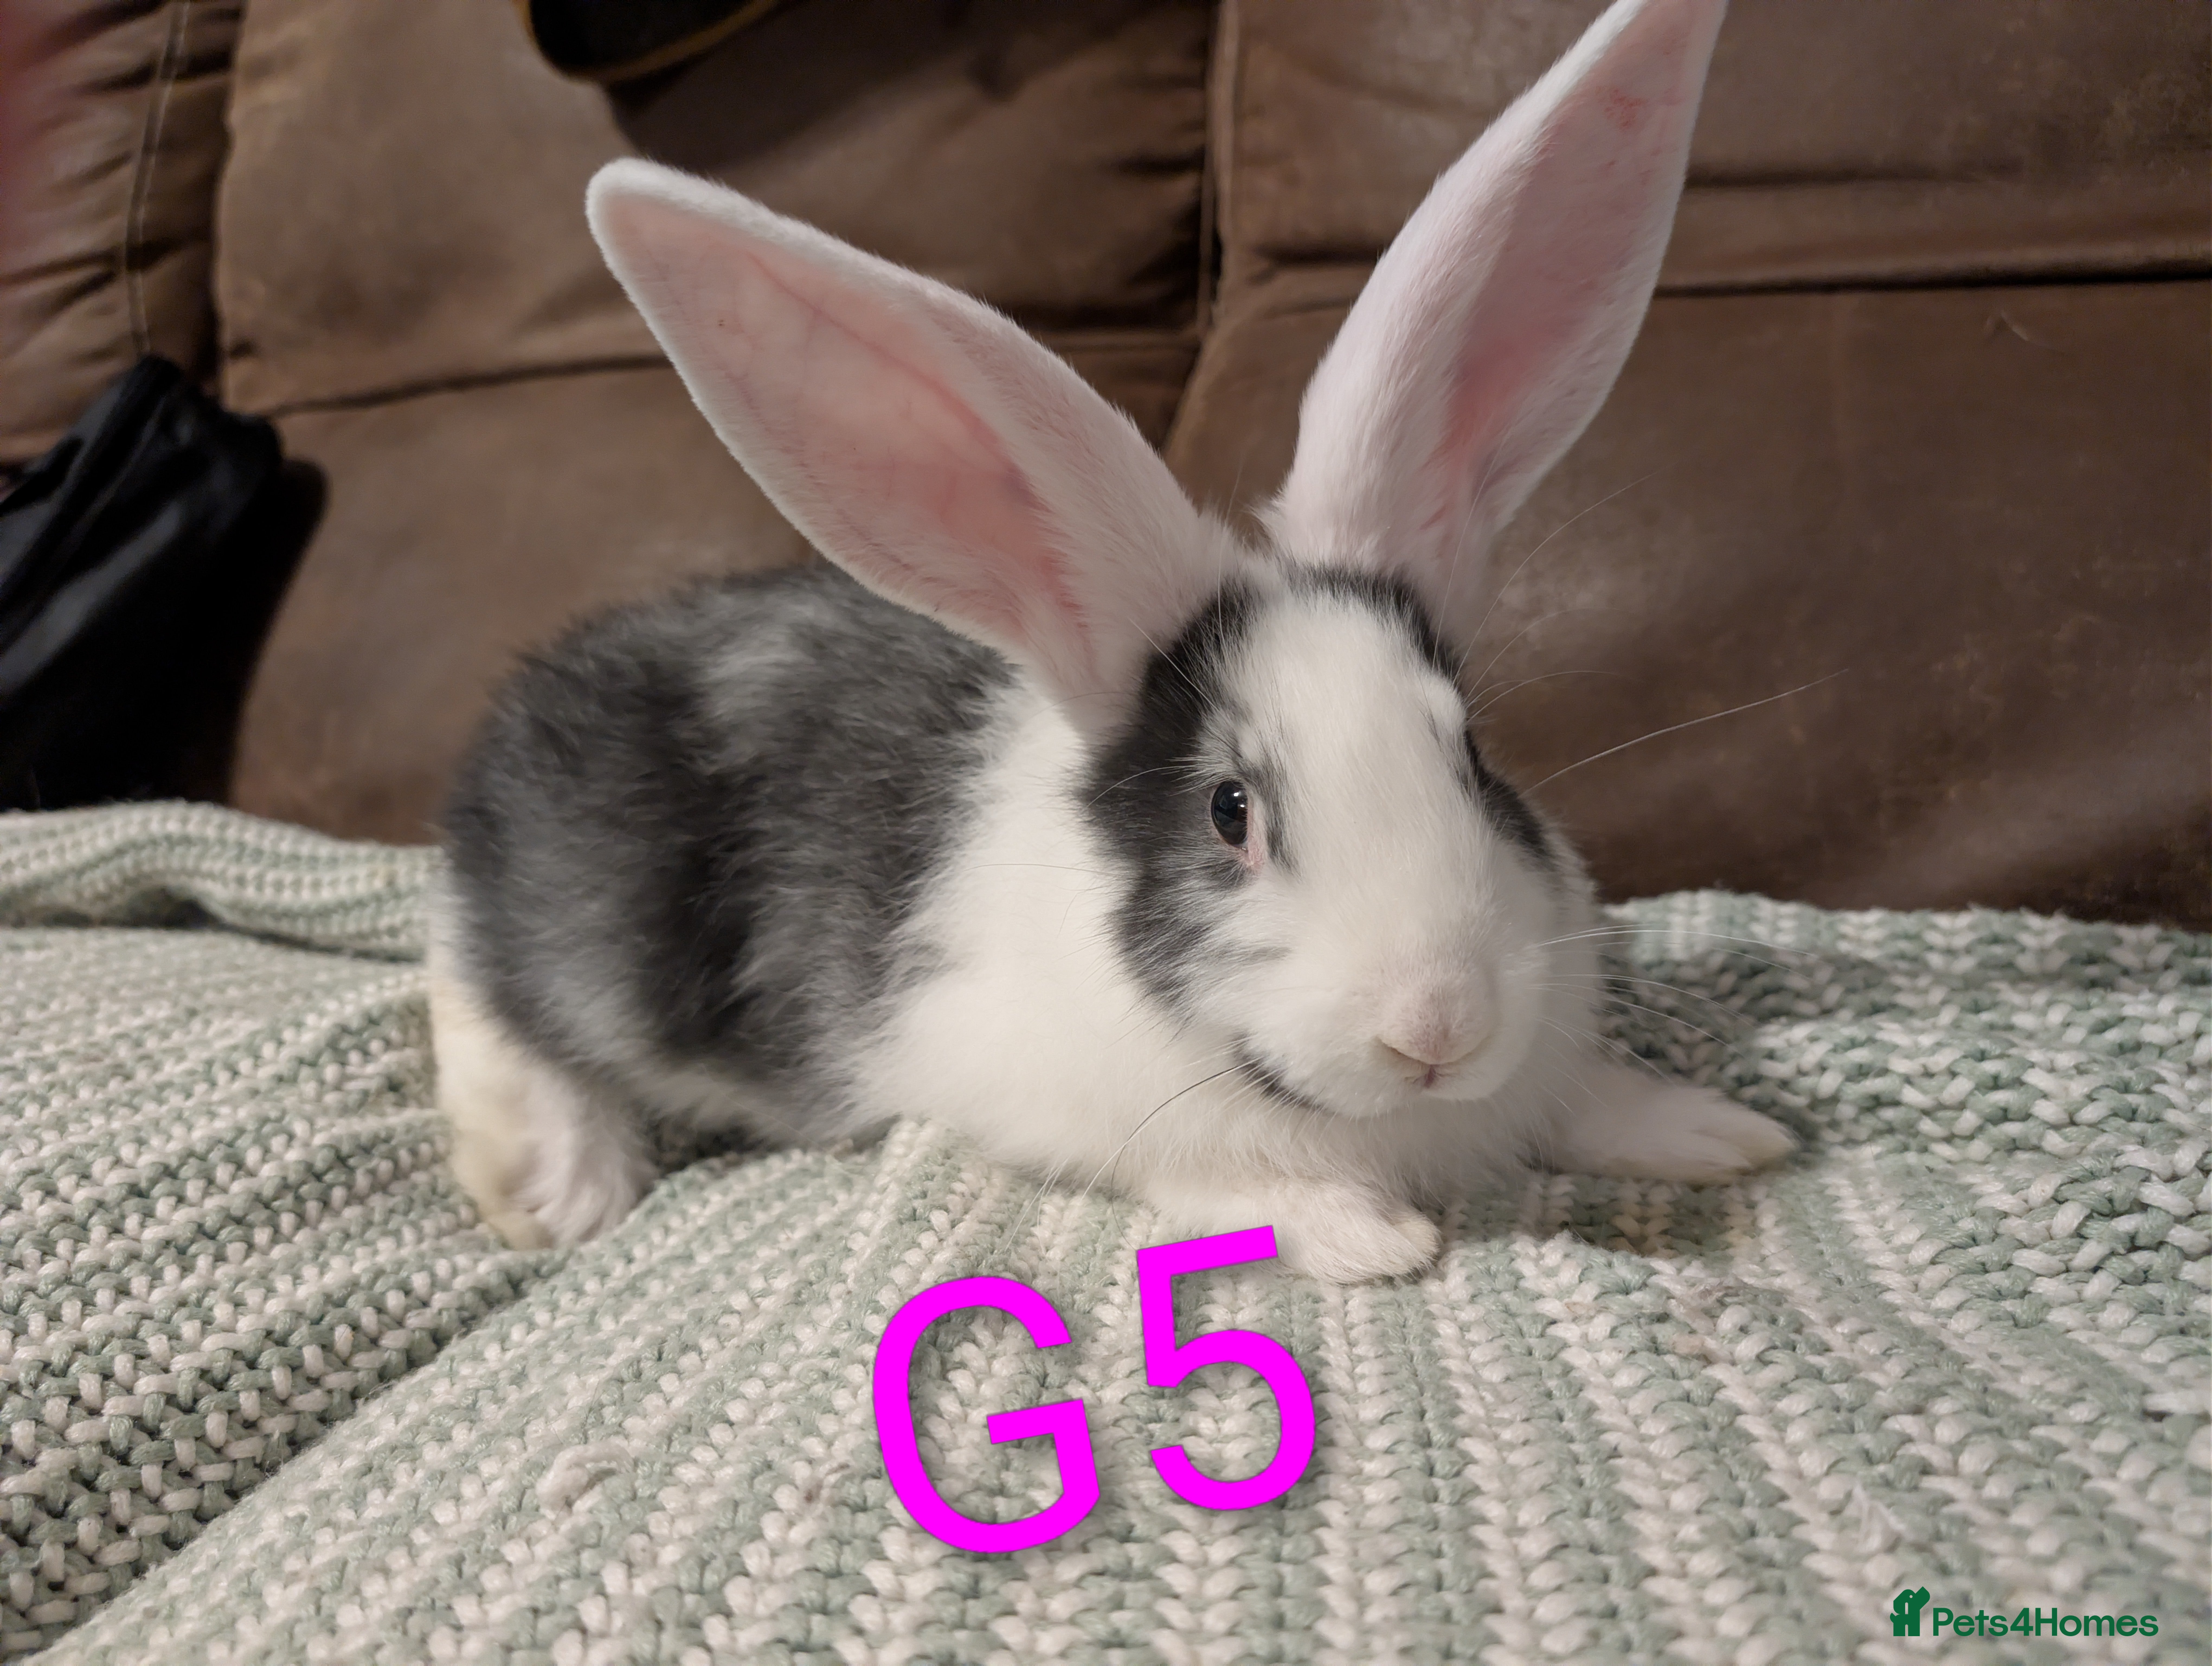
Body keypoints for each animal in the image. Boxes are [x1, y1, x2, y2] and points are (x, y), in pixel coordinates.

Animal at [430, 0, 1792, 1282]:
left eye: (1472, 758)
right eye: (1228, 812)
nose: (1437, 1029)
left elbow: (1589, 1100)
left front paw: (1716, 1133)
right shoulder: (1059, 1106)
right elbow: (1229, 1185)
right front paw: (1365, 1237)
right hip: (589, 934)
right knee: (473, 970)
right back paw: (554, 1182)